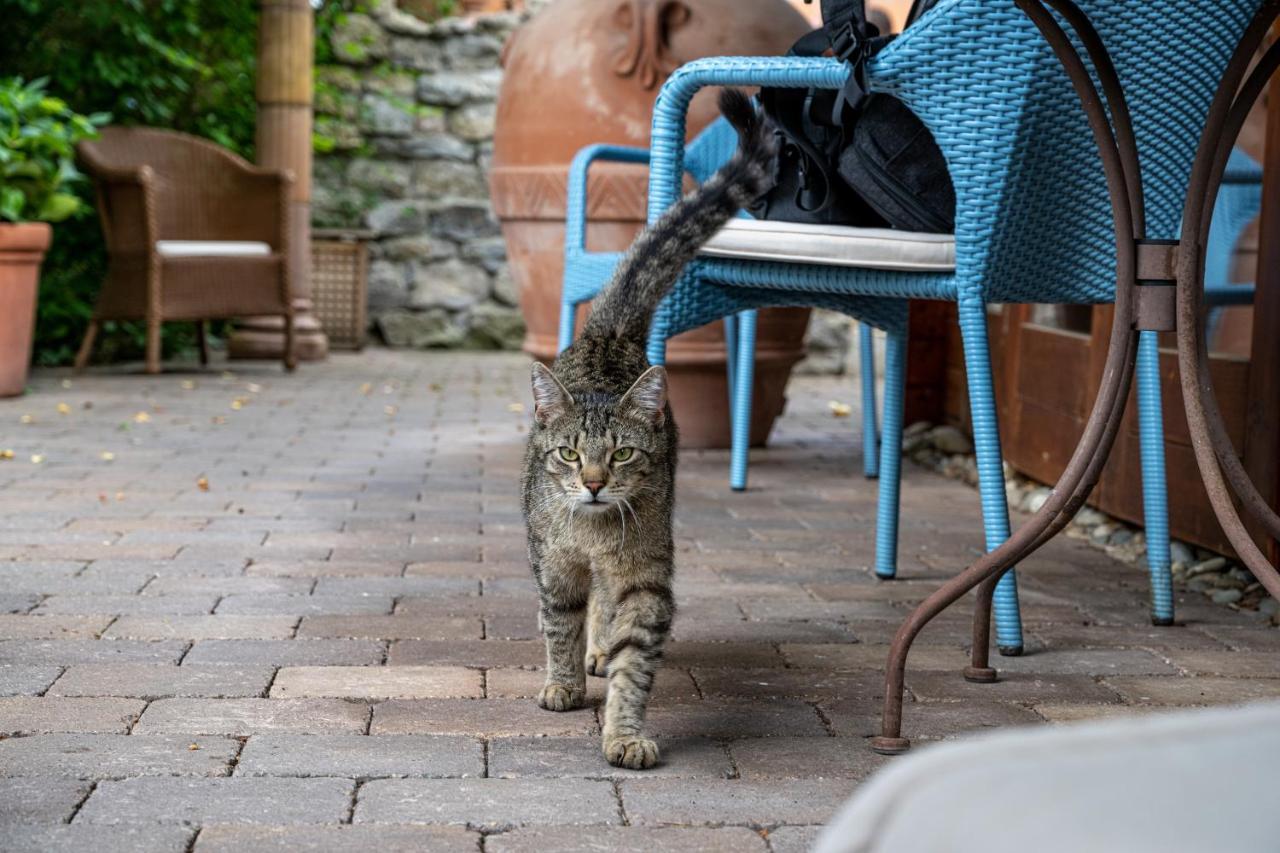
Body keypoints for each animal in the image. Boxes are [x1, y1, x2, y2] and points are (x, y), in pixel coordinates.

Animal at [517, 89, 773, 768]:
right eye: (569, 454)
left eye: (624, 455)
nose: (594, 483)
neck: (594, 535)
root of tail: (610, 333)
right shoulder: (555, 564)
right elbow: (559, 622)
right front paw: (562, 684)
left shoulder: (645, 578)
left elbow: (633, 655)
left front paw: (624, 731)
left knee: (606, 610)